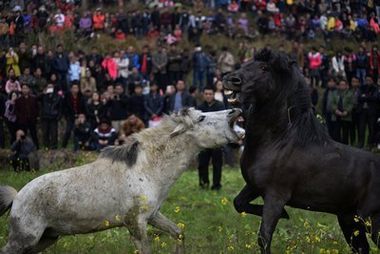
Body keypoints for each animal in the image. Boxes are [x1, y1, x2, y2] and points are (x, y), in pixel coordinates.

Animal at [0, 107, 245, 254]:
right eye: (202, 117)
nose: (234, 110)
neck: (145, 170)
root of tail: (18, 197)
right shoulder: (135, 223)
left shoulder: (153, 216)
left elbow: (179, 233)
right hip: (25, 239)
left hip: (46, 238)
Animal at [223, 48, 380, 254]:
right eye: (247, 62)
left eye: (265, 68)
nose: (229, 79)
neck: (278, 141)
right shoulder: (254, 187)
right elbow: (238, 203)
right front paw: (286, 215)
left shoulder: (275, 196)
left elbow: (264, 238)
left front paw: (284, 214)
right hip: (349, 221)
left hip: (372, 220)